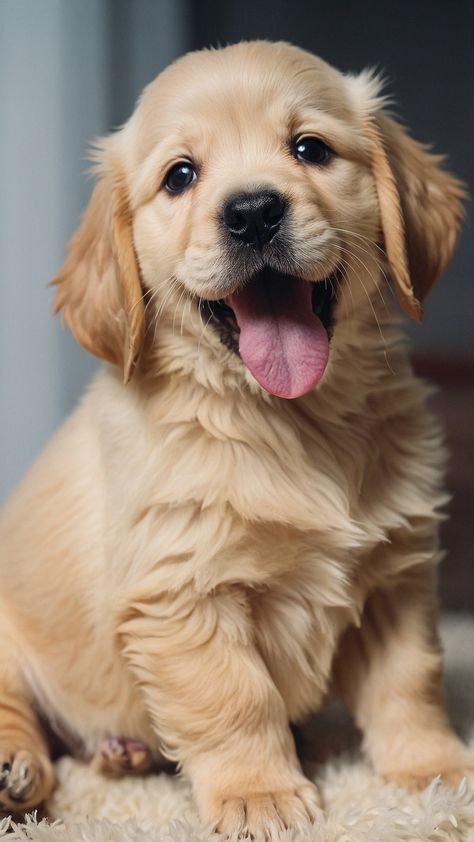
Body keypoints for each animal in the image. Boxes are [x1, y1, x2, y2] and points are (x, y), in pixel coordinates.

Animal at [0, 39, 470, 832]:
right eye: (180, 175)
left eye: (310, 148)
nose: (252, 212)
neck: (290, 421)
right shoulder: (183, 590)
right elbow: (234, 699)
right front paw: (262, 795)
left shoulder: (396, 573)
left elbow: (410, 682)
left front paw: (435, 771)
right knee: (18, 713)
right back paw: (21, 770)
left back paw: (123, 751)